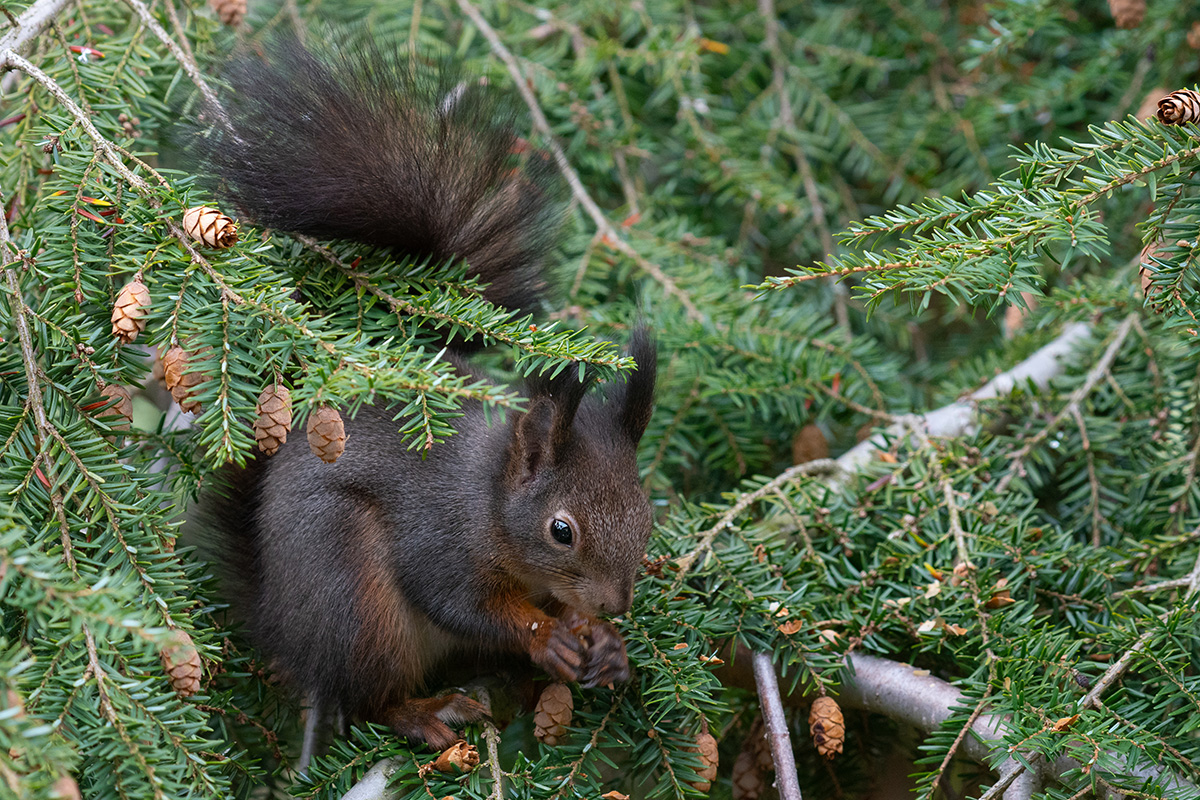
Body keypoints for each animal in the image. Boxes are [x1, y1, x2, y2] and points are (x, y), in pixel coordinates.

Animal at [194, 32, 657, 753]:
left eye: (646, 515)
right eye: (561, 531)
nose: (618, 603)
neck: (490, 499)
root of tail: (278, 624)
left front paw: (605, 643)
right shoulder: (439, 534)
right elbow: (459, 601)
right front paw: (547, 636)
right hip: (354, 596)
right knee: (366, 699)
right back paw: (425, 711)